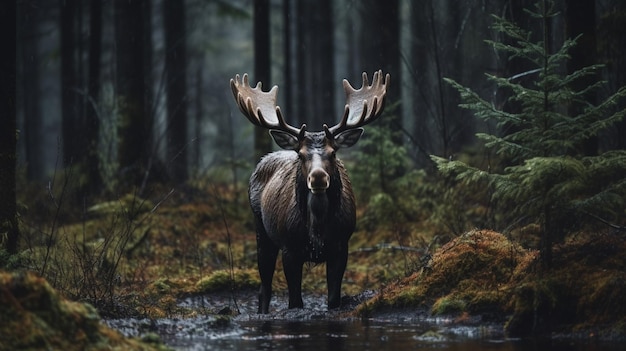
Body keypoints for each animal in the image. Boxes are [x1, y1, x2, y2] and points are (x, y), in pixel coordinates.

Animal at [229, 69, 386, 314]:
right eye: (301, 154)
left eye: (333, 153)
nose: (318, 177)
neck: (318, 231)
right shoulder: (290, 249)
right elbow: (295, 302)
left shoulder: (342, 245)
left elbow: (333, 299)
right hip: (261, 230)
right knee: (264, 287)